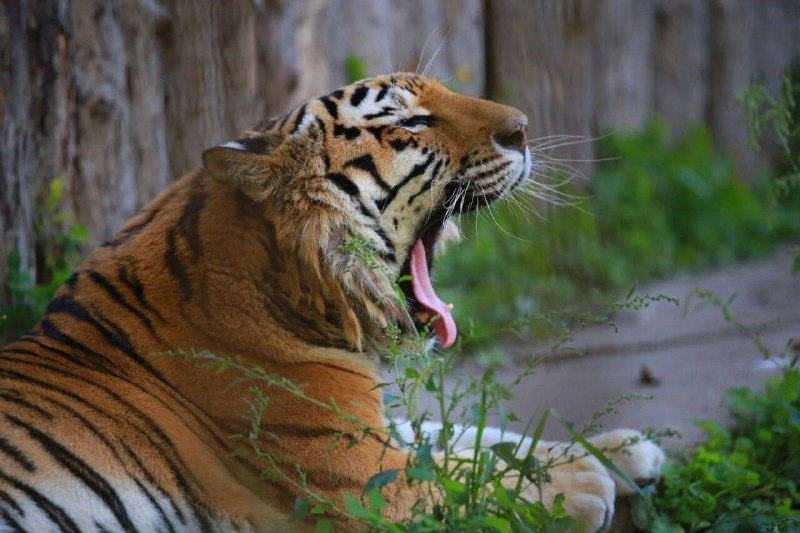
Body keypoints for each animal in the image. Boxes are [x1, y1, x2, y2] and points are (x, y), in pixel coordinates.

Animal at [0, 72, 664, 528]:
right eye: (410, 123)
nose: (522, 127)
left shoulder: (376, 425)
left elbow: (464, 434)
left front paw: (616, 449)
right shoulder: (375, 488)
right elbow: (467, 478)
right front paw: (581, 485)